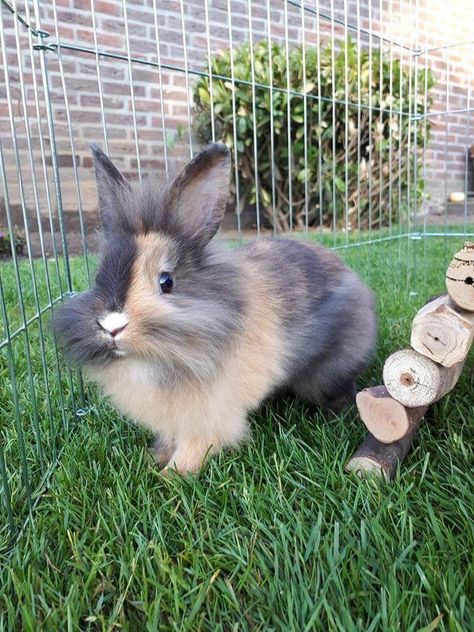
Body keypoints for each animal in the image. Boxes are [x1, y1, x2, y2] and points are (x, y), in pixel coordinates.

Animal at [52, 141, 378, 472]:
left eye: (167, 281)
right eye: (99, 276)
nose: (112, 326)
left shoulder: (208, 417)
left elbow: (194, 448)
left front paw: (170, 474)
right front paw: (153, 458)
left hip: (328, 373)